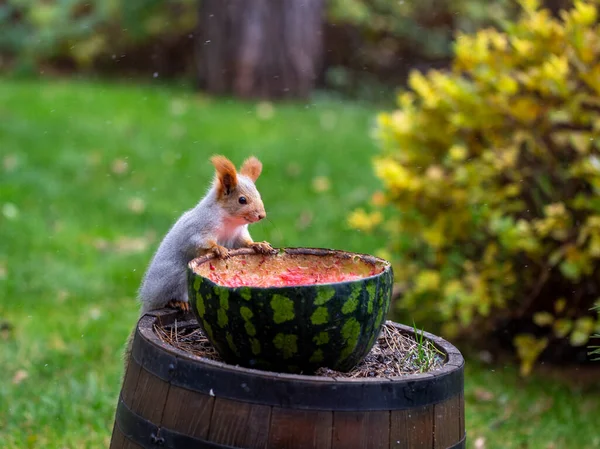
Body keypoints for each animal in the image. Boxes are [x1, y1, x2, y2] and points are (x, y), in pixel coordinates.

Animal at [124, 154, 274, 368]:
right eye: (242, 200)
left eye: (259, 195)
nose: (261, 215)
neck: (230, 221)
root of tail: (148, 303)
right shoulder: (198, 230)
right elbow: (202, 243)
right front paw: (218, 249)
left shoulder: (238, 235)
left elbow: (244, 243)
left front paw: (260, 245)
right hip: (174, 277)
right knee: (168, 297)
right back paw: (177, 302)